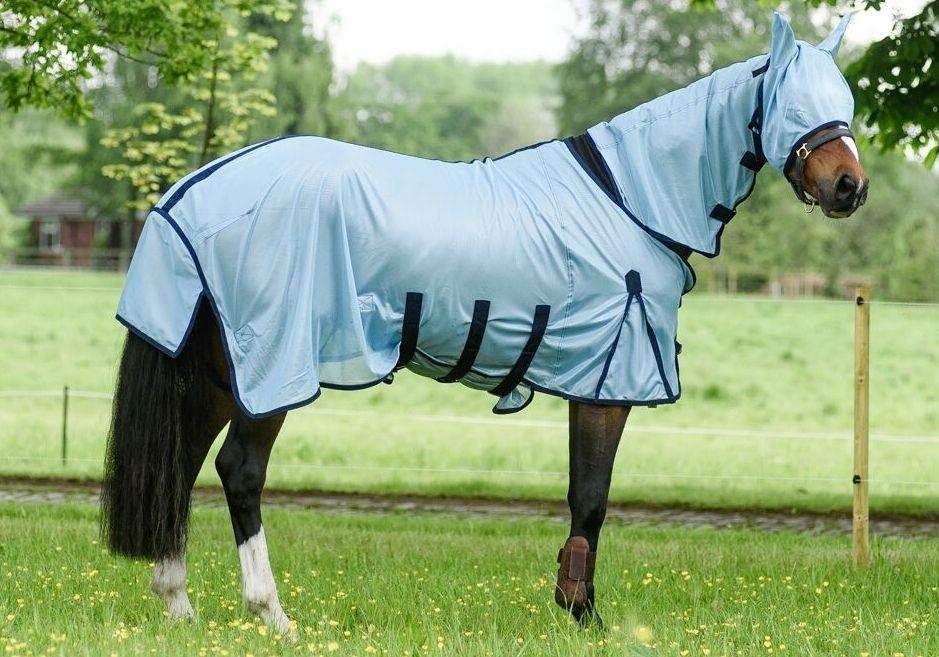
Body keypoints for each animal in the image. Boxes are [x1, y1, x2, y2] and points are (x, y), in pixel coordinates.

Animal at [101, 12, 868, 632]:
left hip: (214, 372)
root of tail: (191, 192)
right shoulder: (608, 380)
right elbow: (592, 497)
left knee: (180, 467)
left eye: (846, 103)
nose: (849, 188)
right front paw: (583, 614)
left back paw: (178, 604)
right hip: (272, 366)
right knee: (238, 470)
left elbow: (580, 495)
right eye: (793, 102)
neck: (628, 197)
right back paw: (272, 613)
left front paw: (572, 603)